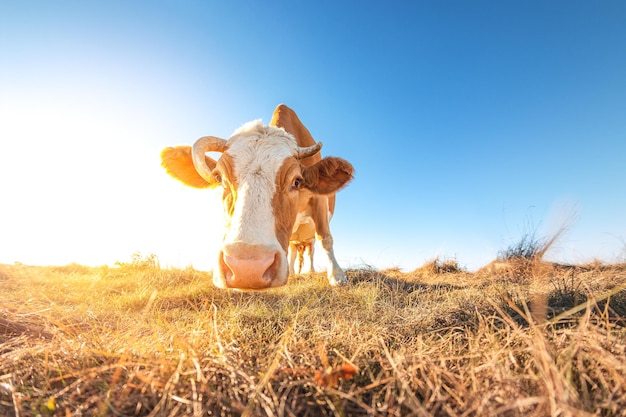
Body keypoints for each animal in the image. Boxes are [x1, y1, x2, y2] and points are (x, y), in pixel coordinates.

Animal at [160, 104, 352, 290]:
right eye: (219, 178)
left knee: (310, 251)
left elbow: (325, 238)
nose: (247, 268)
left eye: (297, 181)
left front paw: (337, 276)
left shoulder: (320, 201)